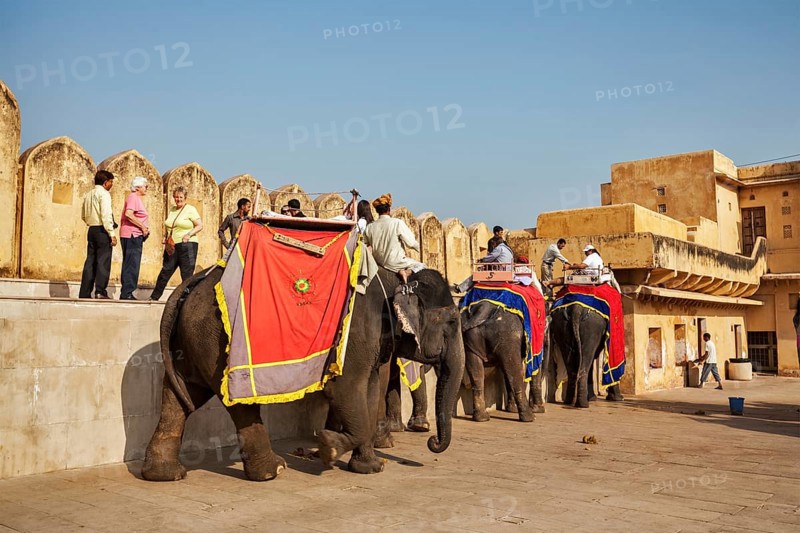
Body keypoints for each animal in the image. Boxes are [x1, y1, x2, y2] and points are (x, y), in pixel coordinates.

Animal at [141, 266, 465, 482]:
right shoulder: (356, 330)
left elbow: (369, 390)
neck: (393, 279)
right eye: (452, 321)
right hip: (220, 343)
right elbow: (346, 388)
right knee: (238, 404)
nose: (432, 443)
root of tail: (191, 283)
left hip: (192, 342)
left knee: (182, 396)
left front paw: (369, 467)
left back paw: (165, 474)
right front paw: (328, 447)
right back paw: (272, 471)